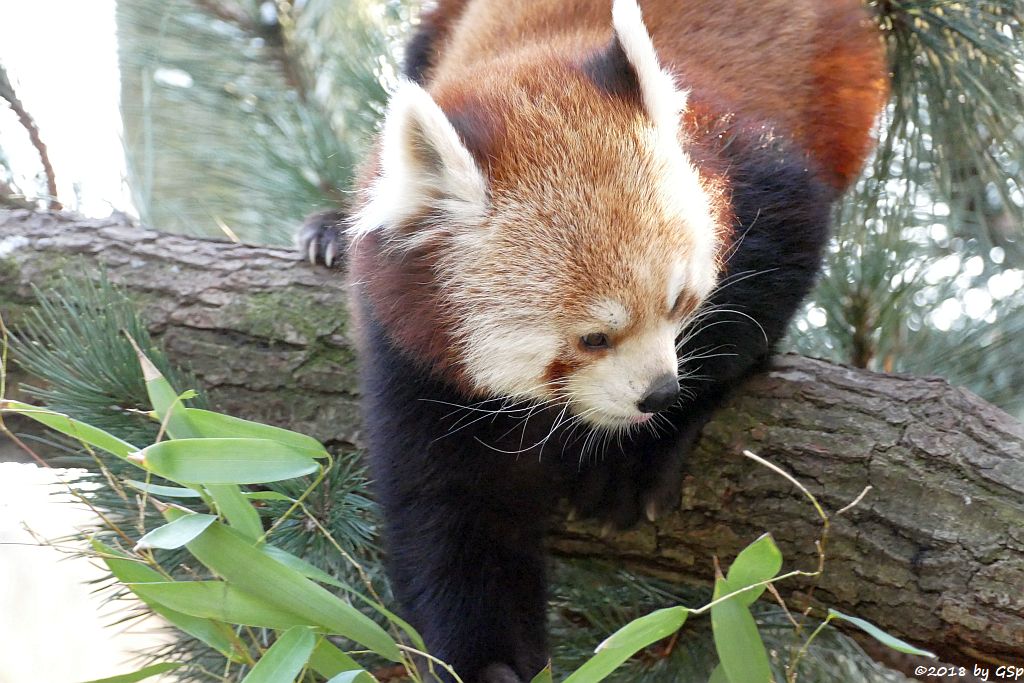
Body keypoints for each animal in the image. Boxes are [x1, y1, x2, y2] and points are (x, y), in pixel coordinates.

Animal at [299, 1, 888, 683]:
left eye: (678, 303)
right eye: (593, 338)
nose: (658, 395)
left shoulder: (741, 159)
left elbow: (773, 266)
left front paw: (640, 452)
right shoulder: (409, 349)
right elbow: (449, 512)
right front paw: (488, 660)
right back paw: (327, 231)